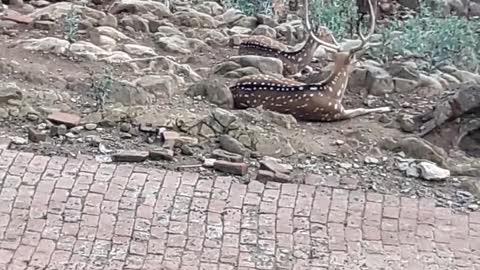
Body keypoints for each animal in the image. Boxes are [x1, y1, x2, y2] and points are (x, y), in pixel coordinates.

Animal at [231, 0, 392, 122]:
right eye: (356, 60)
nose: (361, 63)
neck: (333, 93)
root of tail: (233, 87)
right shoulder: (336, 113)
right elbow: (361, 109)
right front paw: (386, 107)